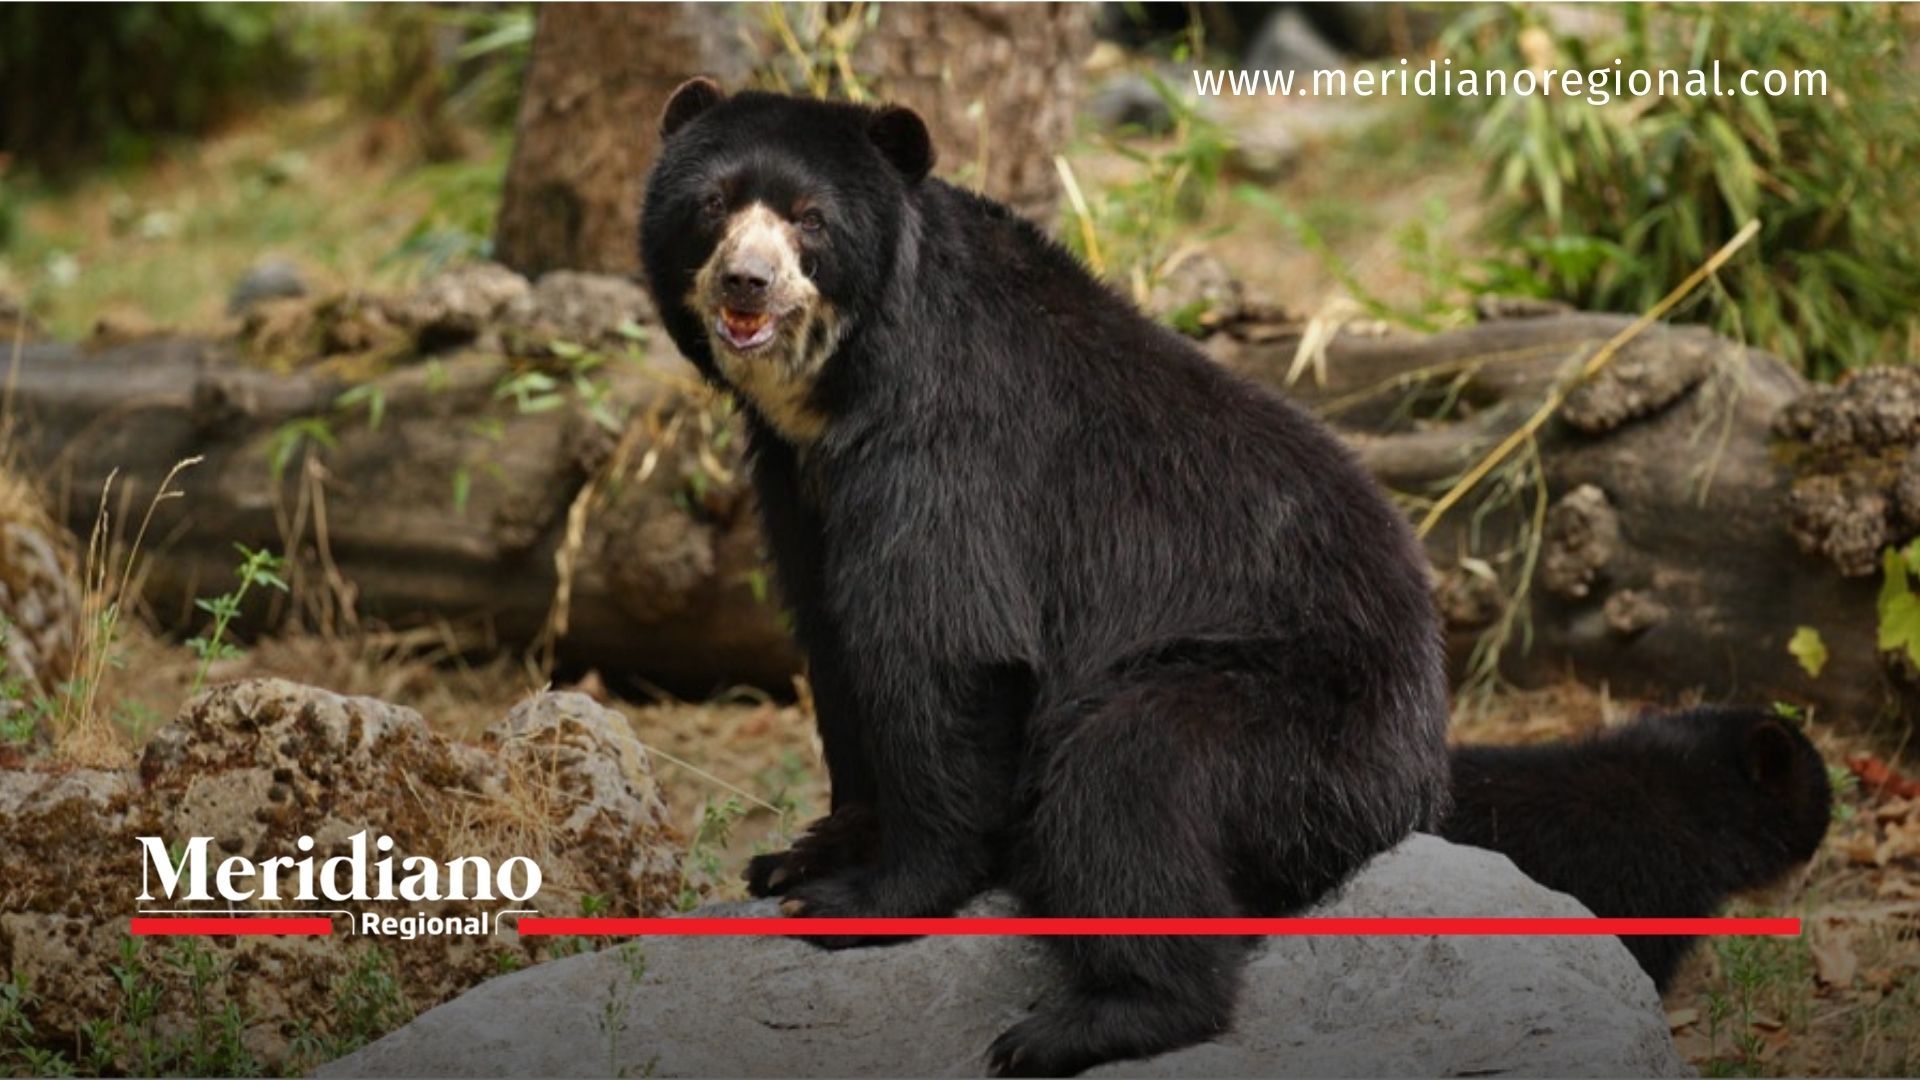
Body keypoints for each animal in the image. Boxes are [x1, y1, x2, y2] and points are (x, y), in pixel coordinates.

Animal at [639, 79, 1451, 1077]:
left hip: (1301, 718)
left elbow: (942, 643)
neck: (840, 386)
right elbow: (832, 636)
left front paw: (861, 898)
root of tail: (1422, 763)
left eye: (810, 219)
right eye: (713, 204)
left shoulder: (951, 445)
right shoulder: (796, 481)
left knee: (1130, 778)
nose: (745, 284)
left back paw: (1088, 1021)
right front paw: (803, 855)